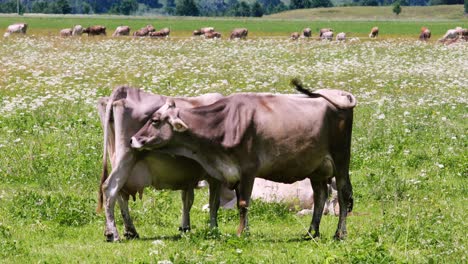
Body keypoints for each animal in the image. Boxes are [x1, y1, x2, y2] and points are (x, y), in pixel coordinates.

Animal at [97, 86, 223, 241]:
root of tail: (125, 90)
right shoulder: (215, 176)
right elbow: (214, 203)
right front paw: (214, 230)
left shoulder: (188, 176)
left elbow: (187, 199)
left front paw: (185, 227)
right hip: (126, 157)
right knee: (110, 188)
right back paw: (112, 233)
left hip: (116, 157)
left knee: (120, 194)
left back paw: (130, 231)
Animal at [130, 79, 356, 240]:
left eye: (155, 120)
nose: (133, 139)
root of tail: (340, 94)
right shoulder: (233, 172)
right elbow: (238, 203)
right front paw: (245, 230)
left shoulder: (248, 169)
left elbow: (243, 203)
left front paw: (240, 233)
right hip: (316, 168)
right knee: (320, 197)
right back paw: (311, 232)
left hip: (341, 160)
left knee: (343, 194)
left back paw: (339, 233)